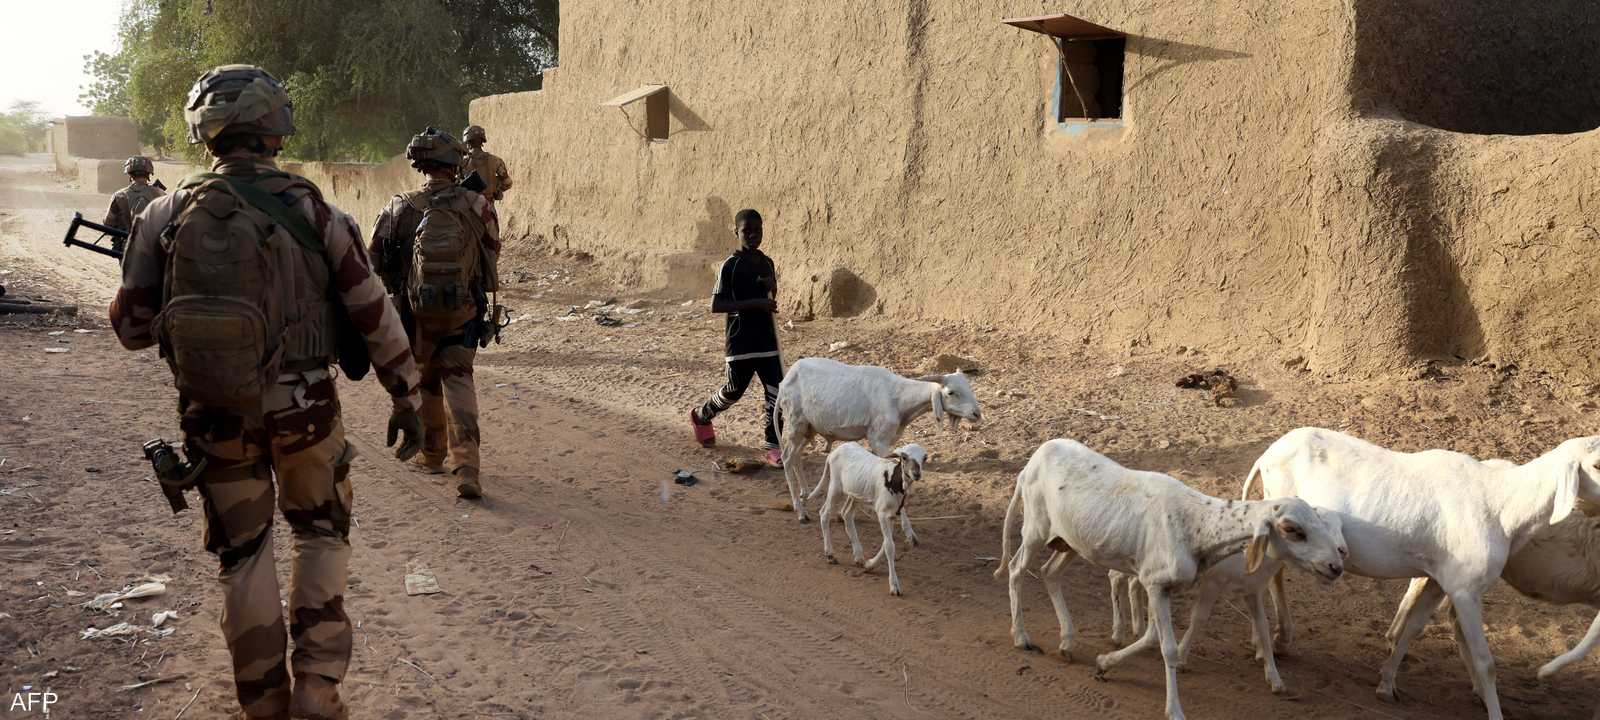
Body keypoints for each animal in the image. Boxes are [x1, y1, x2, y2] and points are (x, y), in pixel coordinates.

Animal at [771, 358, 972, 521]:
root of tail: (785, 381)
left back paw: (805, 493)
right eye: (951, 392)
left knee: (796, 456)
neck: (899, 397)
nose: (976, 413)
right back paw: (800, 512)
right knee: (787, 458)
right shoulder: (879, 440)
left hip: (808, 428)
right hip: (796, 423)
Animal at [806, 444, 934, 595]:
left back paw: (859, 557)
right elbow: (889, 546)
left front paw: (869, 565)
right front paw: (894, 585)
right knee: (824, 513)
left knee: (847, 514)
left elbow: (885, 544)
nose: (916, 474)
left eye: (924, 458)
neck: (893, 481)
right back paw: (830, 555)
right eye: (904, 457)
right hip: (836, 487)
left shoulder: (891, 515)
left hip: (855, 493)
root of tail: (834, 451)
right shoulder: (882, 514)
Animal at [1107, 502, 1344, 694]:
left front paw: (1275, 679)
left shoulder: (1253, 591)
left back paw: (1137, 627)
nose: (1336, 566)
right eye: (1295, 530)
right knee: (1115, 577)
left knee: (1132, 583)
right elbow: (1199, 618)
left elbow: (1263, 627)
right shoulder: (1213, 583)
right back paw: (1118, 632)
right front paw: (1182, 657)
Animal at [1241, 428, 1600, 720]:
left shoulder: (1440, 580)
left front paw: (1386, 684)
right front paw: (1494, 710)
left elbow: (1413, 628)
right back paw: (1275, 643)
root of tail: (1267, 454)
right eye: (1596, 464)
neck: (1502, 505)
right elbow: (1486, 663)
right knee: (1270, 577)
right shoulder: (1465, 589)